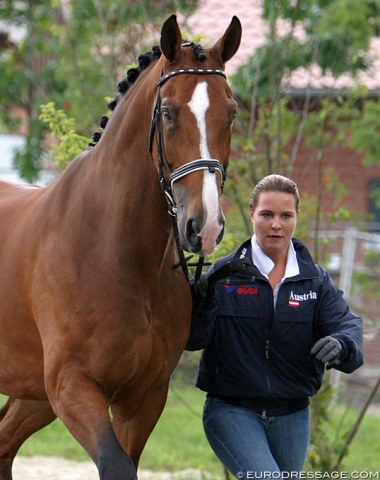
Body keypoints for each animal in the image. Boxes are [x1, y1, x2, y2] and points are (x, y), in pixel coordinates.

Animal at [0, 15, 242, 480]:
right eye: (167, 112)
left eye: (231, 112)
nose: (203, 226)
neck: (115, 253)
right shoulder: (73, 387)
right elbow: (116, 465)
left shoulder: (142, 399)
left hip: (32, 393)